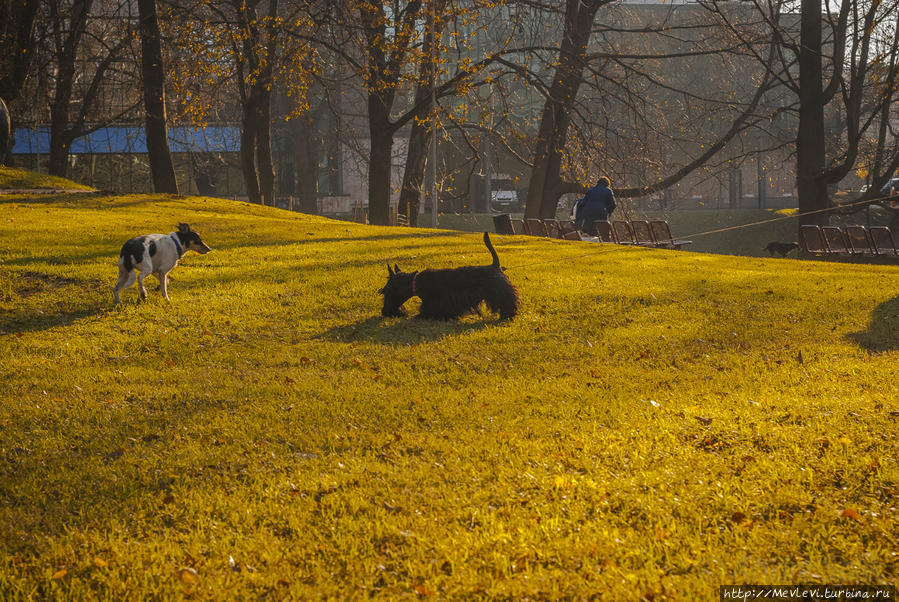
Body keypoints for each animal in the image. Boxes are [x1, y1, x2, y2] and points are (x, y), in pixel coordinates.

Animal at [380, 232, 520, 322]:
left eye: (387, 291)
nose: (384, 312)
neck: (415, 283)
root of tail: (495, 265)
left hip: (501, 292)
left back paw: (507, 315)